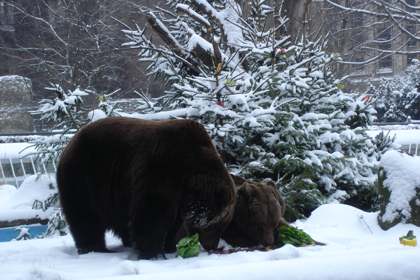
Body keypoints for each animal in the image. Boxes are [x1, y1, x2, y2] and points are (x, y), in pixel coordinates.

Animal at [56, 116, 236, 258]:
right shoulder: (160, 167)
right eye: (214, 225)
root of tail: (70, 143)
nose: (212, 246)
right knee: (86, 216)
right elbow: (151, 213)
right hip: (85, 175)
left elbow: (173, 221)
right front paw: (152, 252)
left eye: (222, 224)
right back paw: (95, 248)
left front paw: (169, 246)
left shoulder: (180, 196)